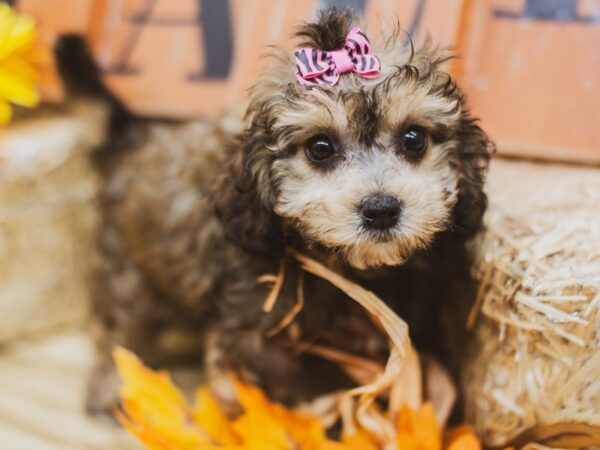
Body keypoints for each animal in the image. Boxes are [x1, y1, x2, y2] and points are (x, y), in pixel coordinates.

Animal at [56, 7, 490, 414]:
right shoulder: (249, 334)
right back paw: (112, 386)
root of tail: (137, 136)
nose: (382, 209)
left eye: (413, 139)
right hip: (127, 272)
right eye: (320, 148)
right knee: (119, 332)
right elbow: (254, 395)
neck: (346, 273)